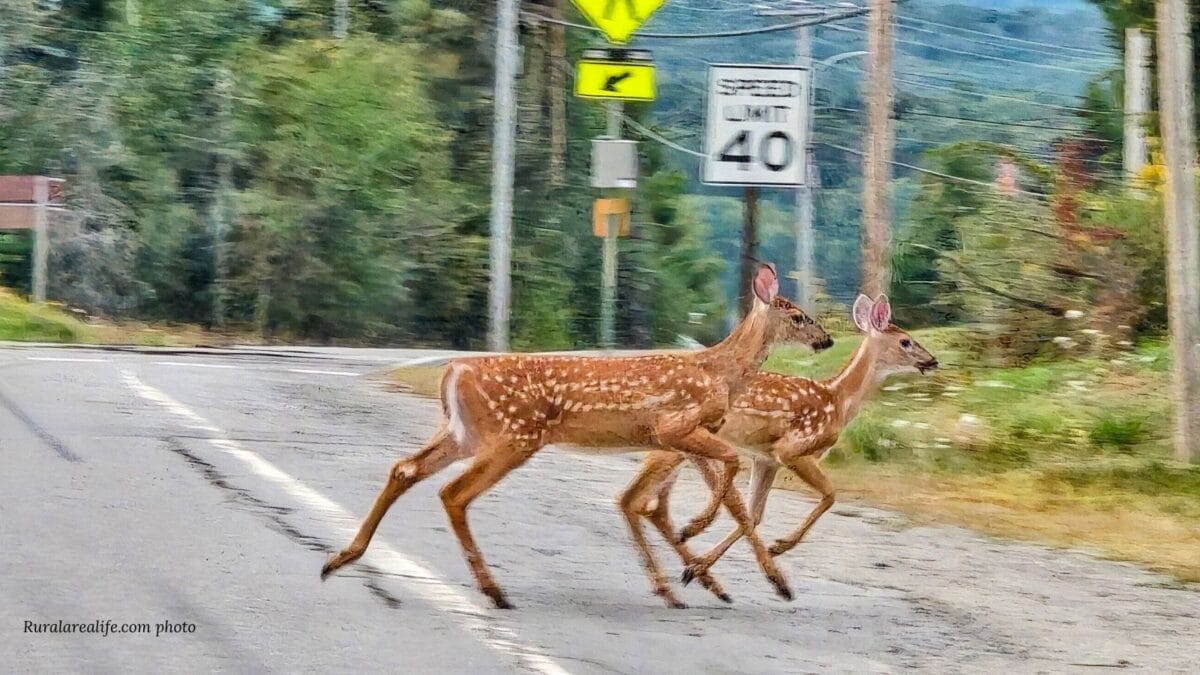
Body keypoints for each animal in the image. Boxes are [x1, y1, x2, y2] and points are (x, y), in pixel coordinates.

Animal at [320, 263, 835, 609]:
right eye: (798, 316)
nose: (827, 340)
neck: (720, 372)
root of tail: (454, 371)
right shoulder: (674, 425)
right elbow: (728, 470)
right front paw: (696, 535)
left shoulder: (675, 439)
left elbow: (715, 491)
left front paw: (709, 569)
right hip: (513, 436)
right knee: (453, 493)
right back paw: (493, 590)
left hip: (463, 433)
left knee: (405, 468)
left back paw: (340, 558)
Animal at [619, 294, 937, 597]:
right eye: (906, 341)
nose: (933, 360)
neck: (837, 400)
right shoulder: (793, 449)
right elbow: (829, 496)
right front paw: (779, 547)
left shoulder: (765, 458)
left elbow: (754, 515)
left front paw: (700, 567)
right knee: (642, 500)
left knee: (653, 505)